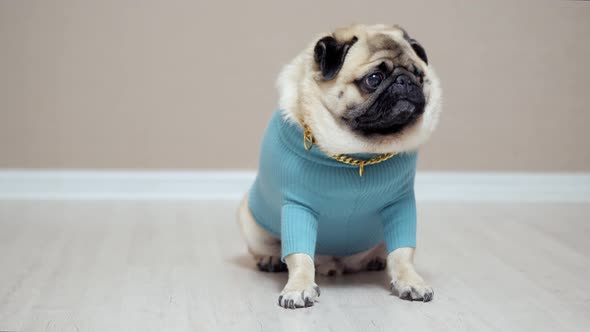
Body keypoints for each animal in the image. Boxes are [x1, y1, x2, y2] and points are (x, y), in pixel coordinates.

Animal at [238, 23, 442, 308]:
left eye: (419, 76)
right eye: (374, 78)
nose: (405, 81)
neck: (360, 153)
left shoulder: (400, 205)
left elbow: (402, 252)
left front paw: (410, 281)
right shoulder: (297, 205)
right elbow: (299, 256)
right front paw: (299, 286)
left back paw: (376, 259)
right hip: (251, 222)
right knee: (268, 248)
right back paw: (268, 260)